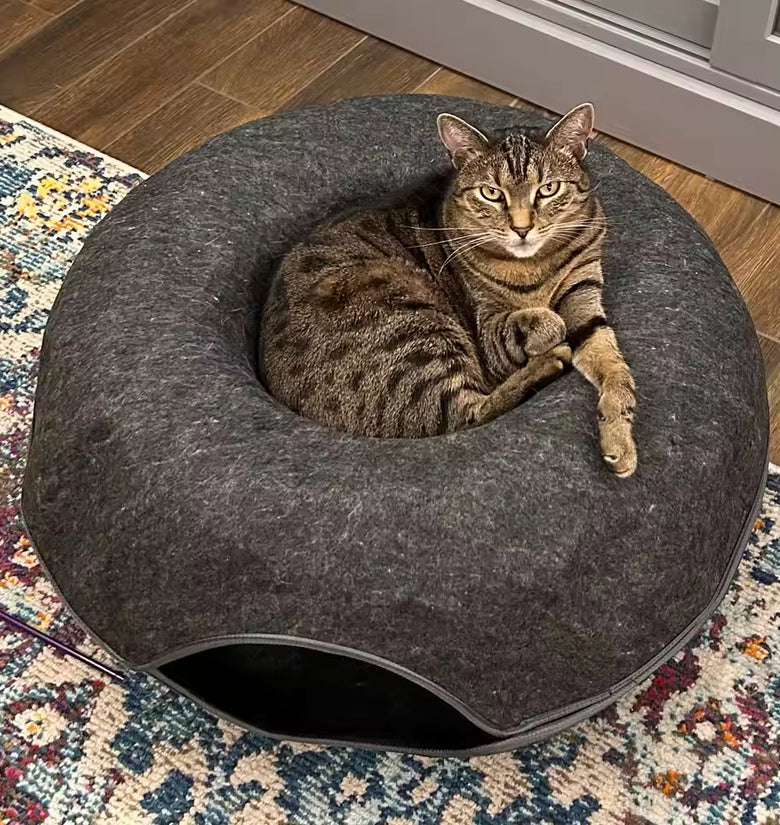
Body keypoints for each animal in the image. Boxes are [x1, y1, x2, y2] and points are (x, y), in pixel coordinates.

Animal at [260, 103, 637, 477]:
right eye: (491, 193)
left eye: (548, 189)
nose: (522, 229)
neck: (534, 266)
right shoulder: (488, 332)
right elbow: (540, 324)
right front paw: (550, 331)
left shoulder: (583, 291)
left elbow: (614, 366)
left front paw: (620, 438)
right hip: (408, 316)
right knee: (465, 414)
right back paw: (550, 360)